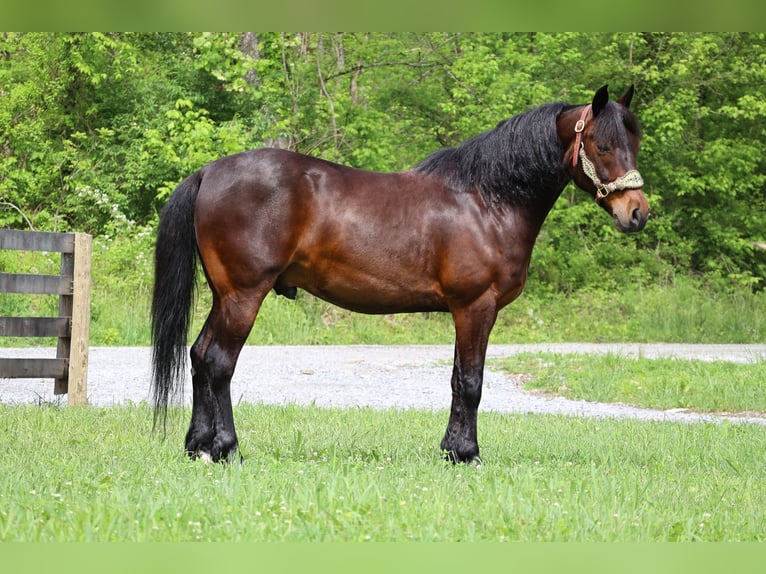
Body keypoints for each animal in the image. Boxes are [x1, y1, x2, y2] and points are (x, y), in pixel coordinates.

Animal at [153, 83, 652, 466]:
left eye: (635, 144)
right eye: (603, 145)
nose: (637, 213)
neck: (486, 200)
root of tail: (208, 172)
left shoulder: (465, 311)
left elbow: (456, 379)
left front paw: (451, 450)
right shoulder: (476, 307)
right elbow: (471, 383)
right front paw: (468, 454)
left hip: (224, 296)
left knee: (199, 356)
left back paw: (197, 447)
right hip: (244, 295)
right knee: (220, 362)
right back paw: (227, 450)